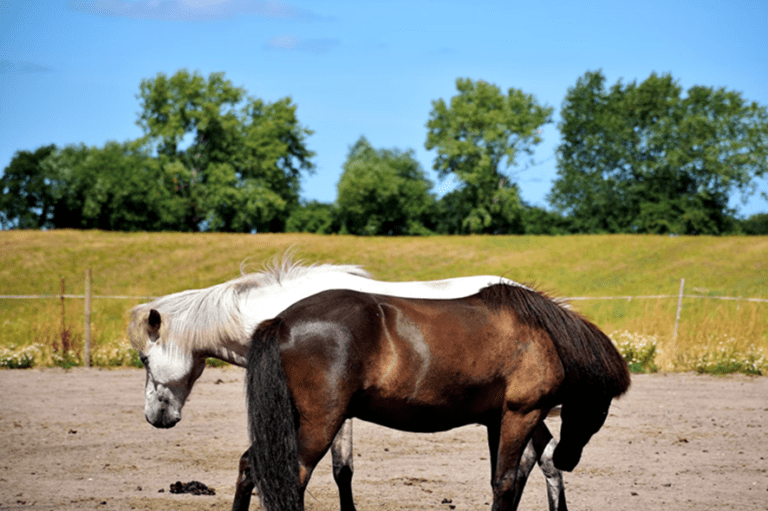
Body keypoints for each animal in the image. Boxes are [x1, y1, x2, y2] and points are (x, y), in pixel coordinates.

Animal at [128, 255, 570, 510]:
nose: (155, 417)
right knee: (540, 460)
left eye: (145, 359)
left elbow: (341, 470)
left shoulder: (333, 414)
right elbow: (339, 470)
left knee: (540, 460)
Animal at [243, 284, 630, 511]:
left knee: (250, 466)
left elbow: (511, 478)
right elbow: (506, 482)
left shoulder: (499, 421)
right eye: (600, 406)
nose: (568, 458)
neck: (541, 336)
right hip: (320, 424)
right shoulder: (522, 414)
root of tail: (281, 321)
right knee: (291, 476)